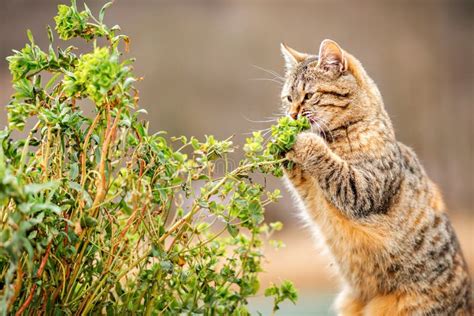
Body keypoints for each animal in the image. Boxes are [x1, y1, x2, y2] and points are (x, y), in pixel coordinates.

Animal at [280, 40, 472, 316]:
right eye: (288, 98)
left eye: (308, 95)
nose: (292, 115)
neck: (338, 138)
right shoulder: (311, 196)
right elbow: (302, 179)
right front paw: (280, 141)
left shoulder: (364, 189)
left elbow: (331, 165)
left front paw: (303, 140)